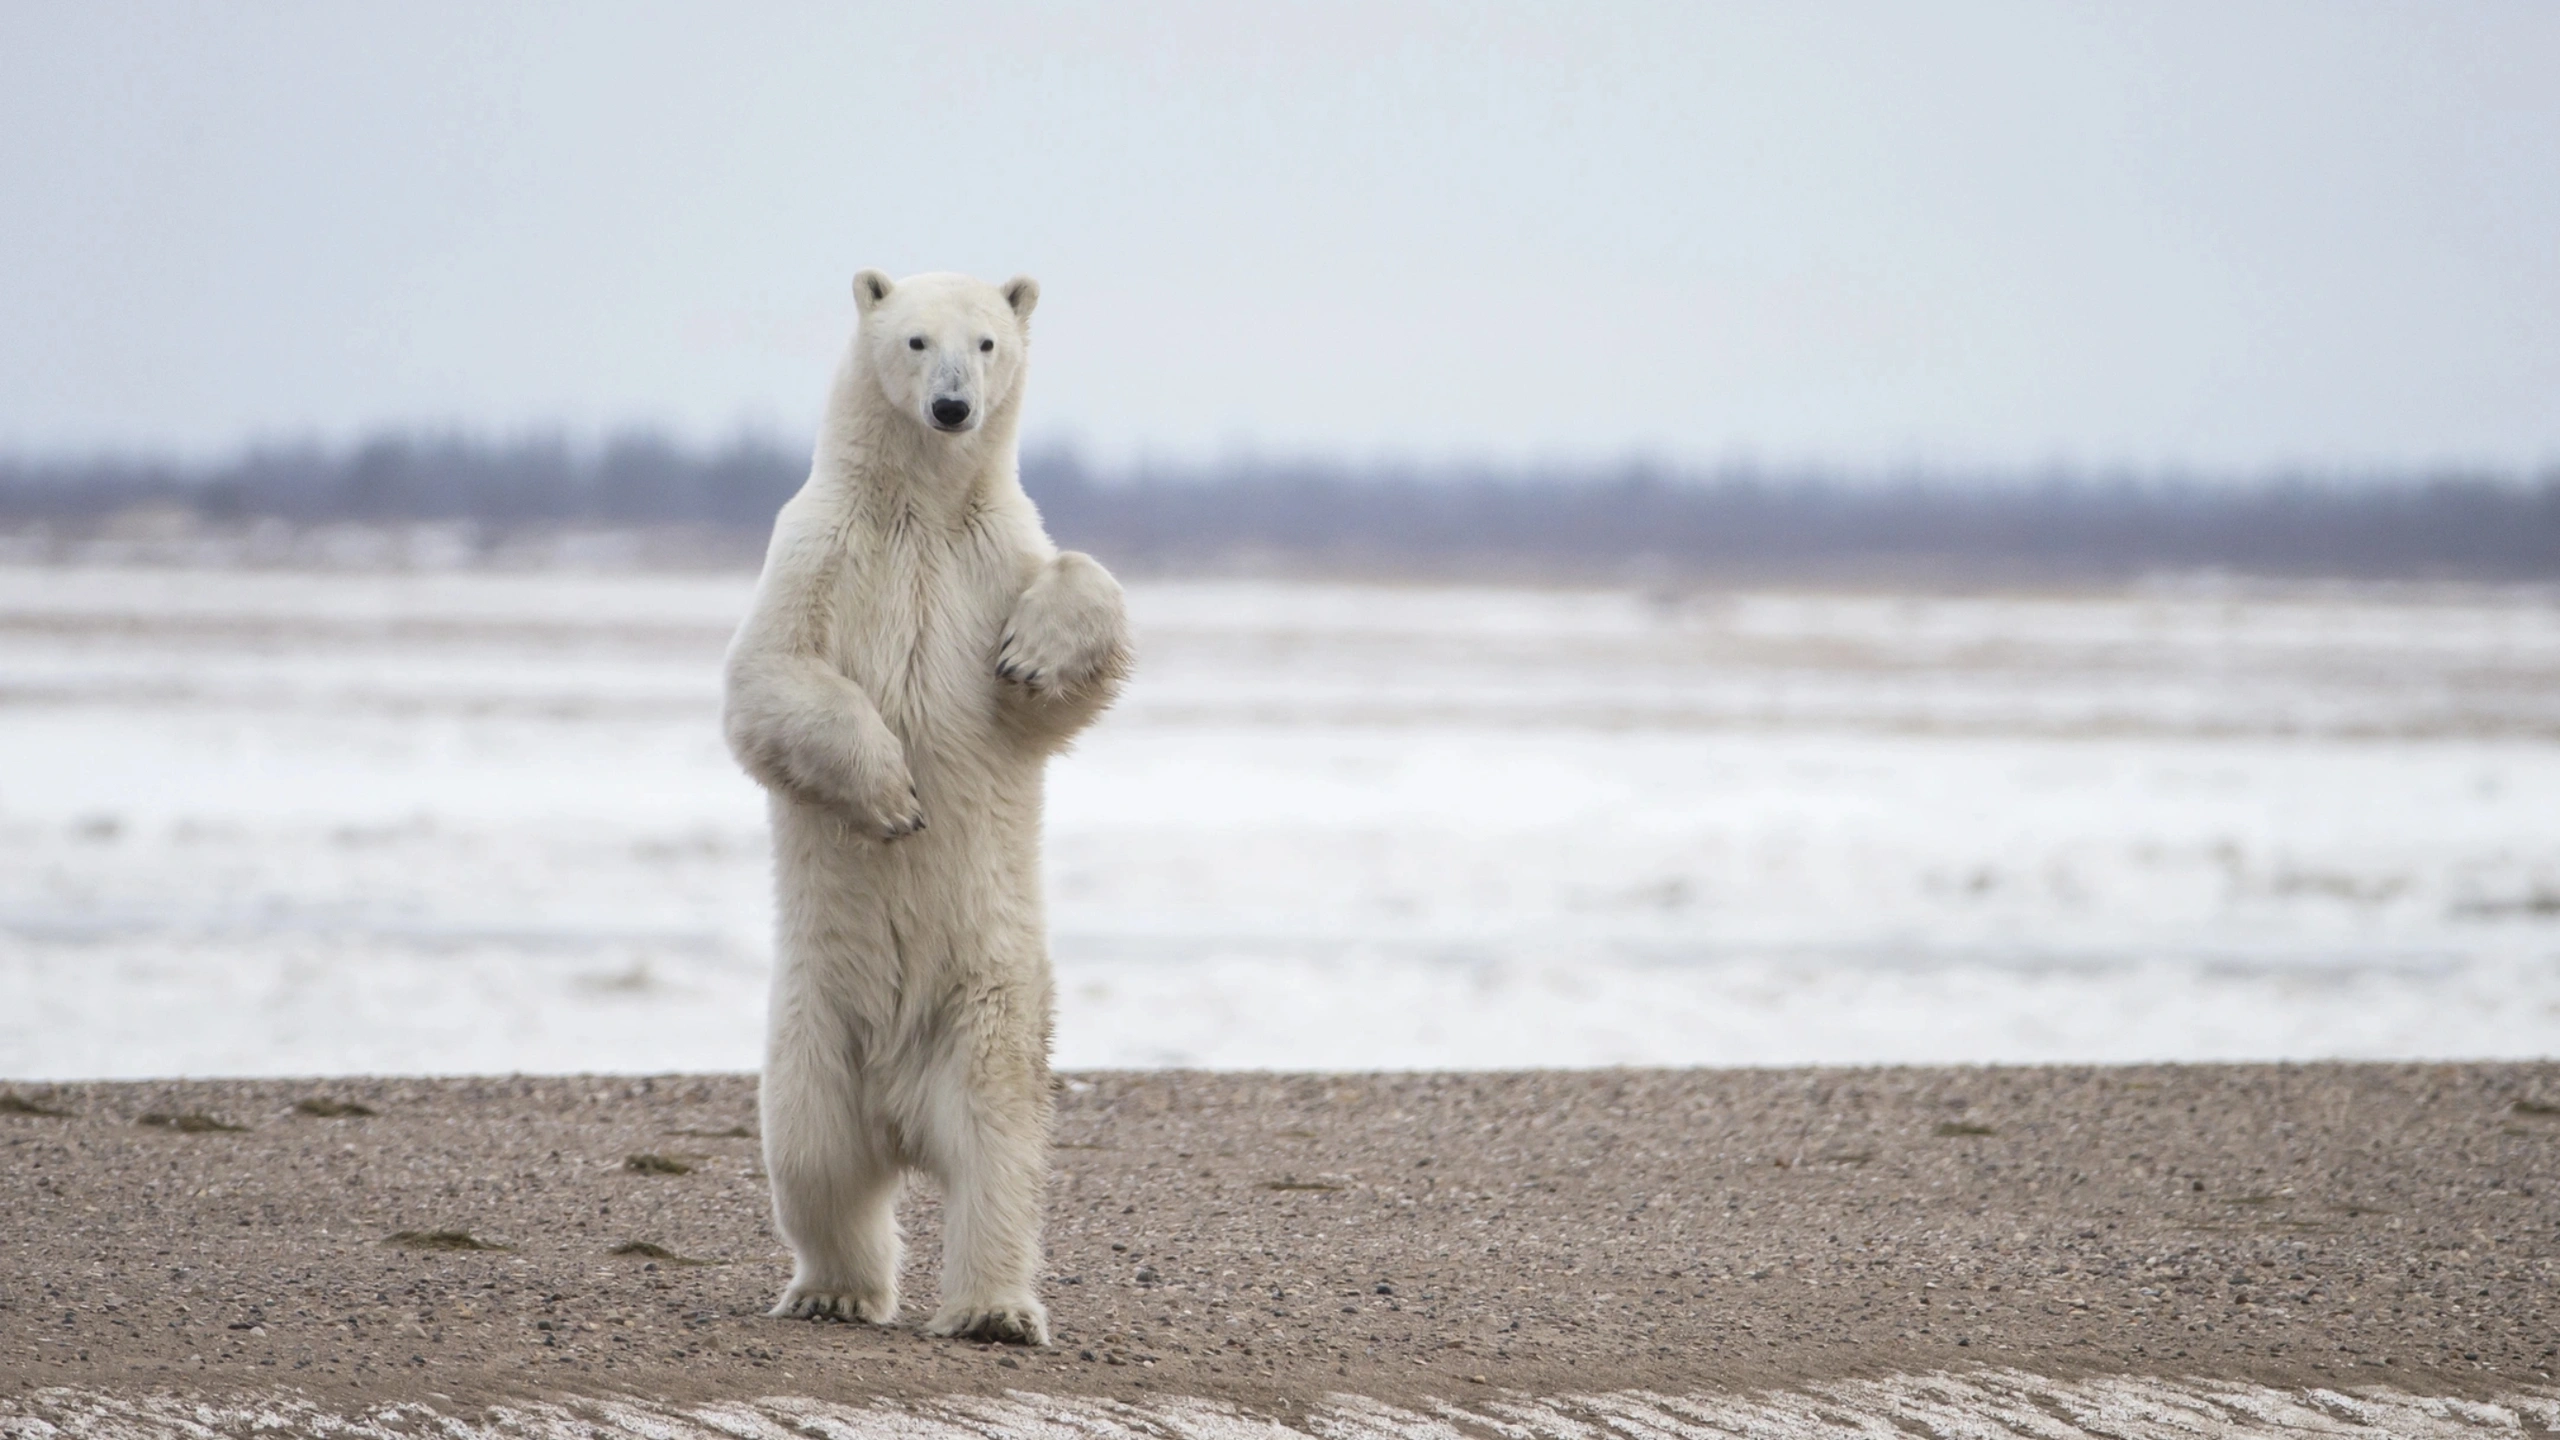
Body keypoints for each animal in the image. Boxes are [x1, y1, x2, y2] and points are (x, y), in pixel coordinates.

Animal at [716, 263, 1126, 1342]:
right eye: (913, 340)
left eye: (985, 342)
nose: (952, 408)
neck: (920, 509)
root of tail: (902, 1113)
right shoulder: (816, 549)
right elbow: (771, 677)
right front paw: (895, 798)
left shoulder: (994, 554)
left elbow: (1066, 650)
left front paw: (1033, 655)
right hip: (812, 1024)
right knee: (815, 1158)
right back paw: (834, 1289)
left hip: (989, 1005)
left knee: (1000, 1150)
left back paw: (993, 1310)